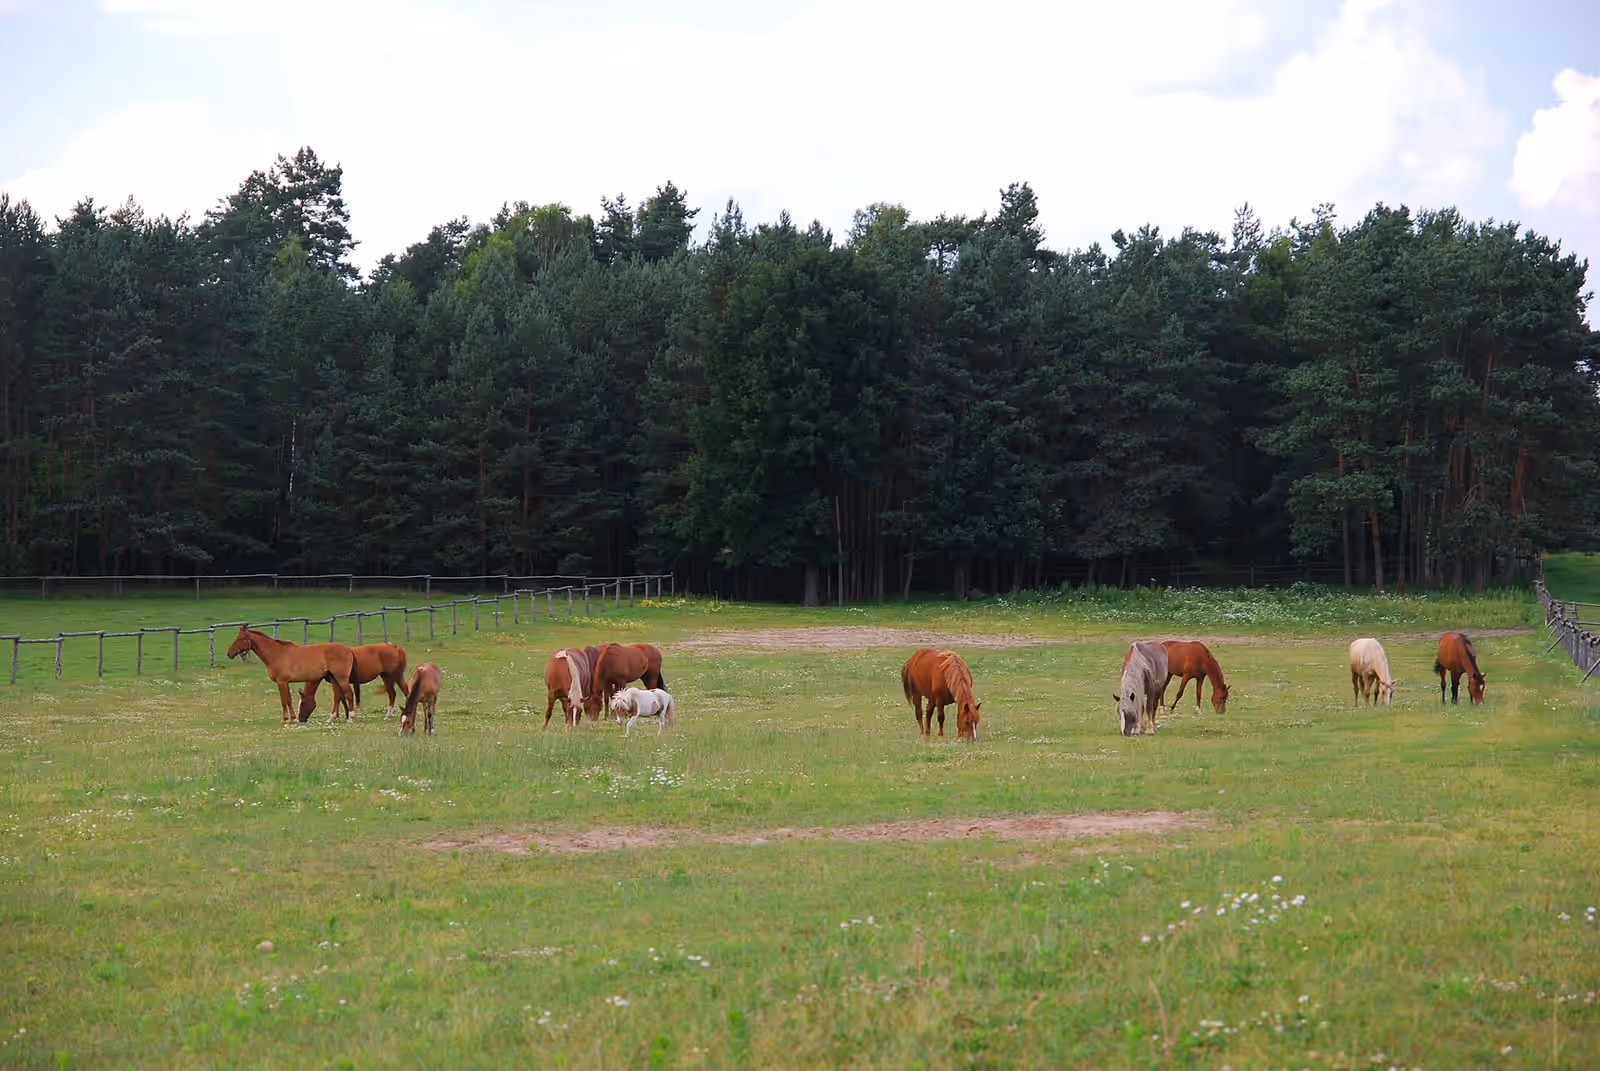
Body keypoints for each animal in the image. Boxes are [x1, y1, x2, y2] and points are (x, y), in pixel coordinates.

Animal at [225, 625, 357, 726]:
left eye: (240, 639)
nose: (229, 653)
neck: (276, 654)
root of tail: (348, 650)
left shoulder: (281, 682)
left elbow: (284, 701)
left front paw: (285, 720)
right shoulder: (286, 683)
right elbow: (289, 700)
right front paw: (293, 719)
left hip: (341, 679)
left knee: (349, 694)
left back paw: (350, 718)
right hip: (334, 679)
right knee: (338, 696)